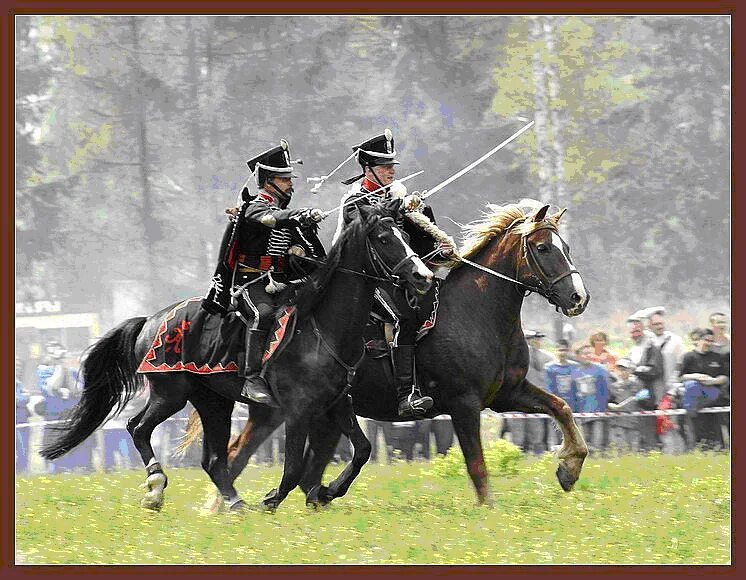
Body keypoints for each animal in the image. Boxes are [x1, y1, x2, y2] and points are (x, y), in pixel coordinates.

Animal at [40, 201, 434, 512]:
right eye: (383, 238)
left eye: (403, 233)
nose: (424, 276)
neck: (320, 327)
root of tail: (150, 321)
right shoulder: (297, 410)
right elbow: (294, 465)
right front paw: (274, 498)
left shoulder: (337, 403)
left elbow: (362, 449)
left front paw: (327, 491)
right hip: (170, 393)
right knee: (138, 429)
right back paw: (156, 489)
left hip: (213, 401)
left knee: (213, 459)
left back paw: (234, 502)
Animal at [189, 199, 588, 508]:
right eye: (543, 248)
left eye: (567, 247)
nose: (578, 298)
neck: (477, 312)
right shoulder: (465, 404)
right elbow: (477, 465)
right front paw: (489, 507)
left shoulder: (507, 394)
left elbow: (561, 408)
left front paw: (569, 468)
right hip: (281, 411)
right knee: (240, 454)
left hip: (309, 414)